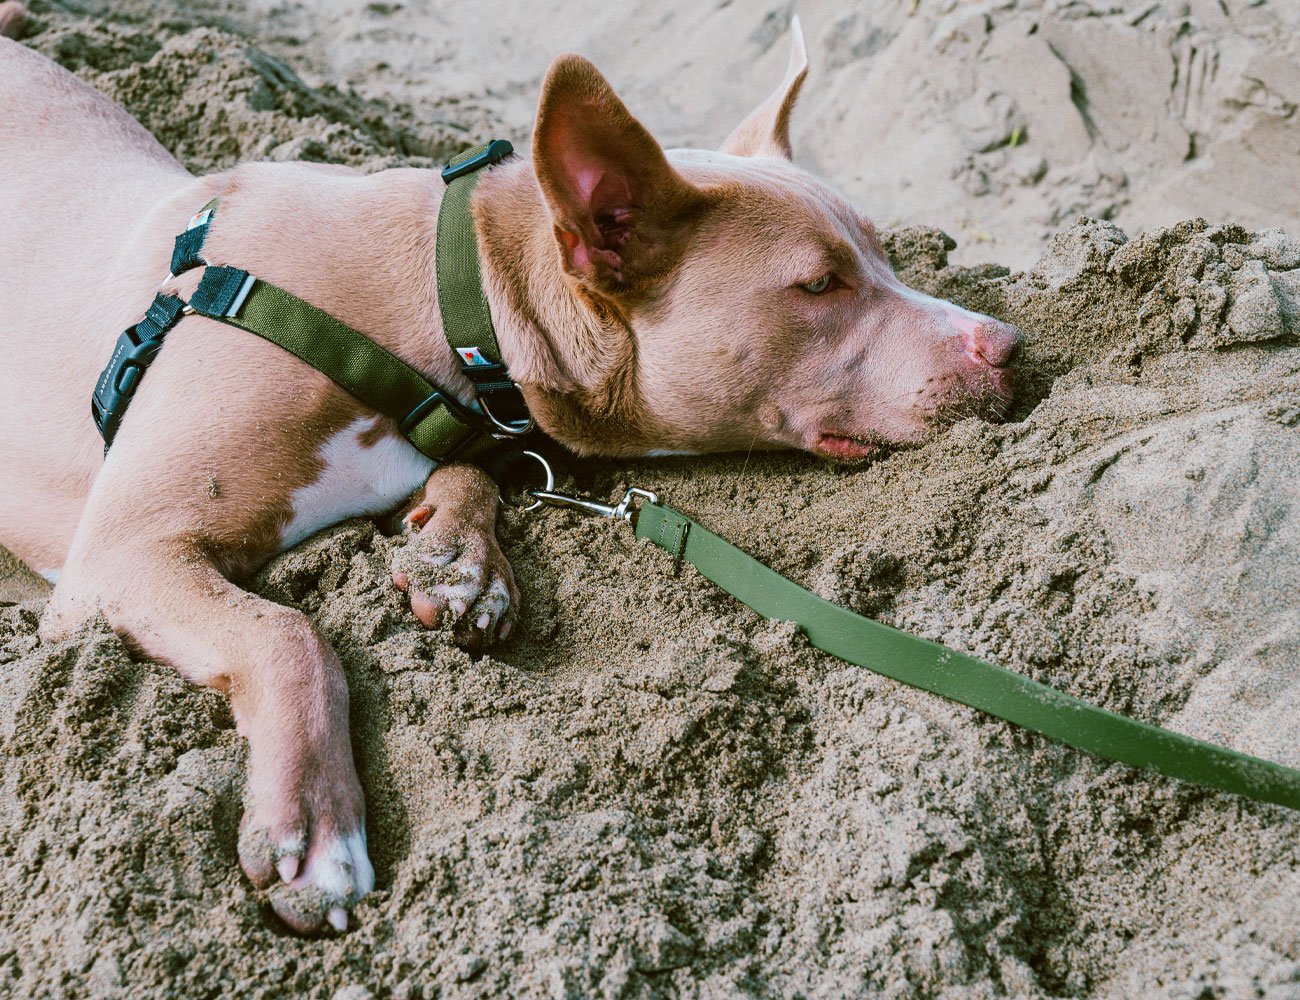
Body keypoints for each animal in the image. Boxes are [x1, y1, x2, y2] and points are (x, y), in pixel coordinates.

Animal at [0, 11, 1019, 931]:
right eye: (818, 286)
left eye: (884, 254)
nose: (1010, 344)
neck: (448, 298)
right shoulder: (122, 556)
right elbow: (291, 635)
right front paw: (316, 829)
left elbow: (471, 478)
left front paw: (460, 562)